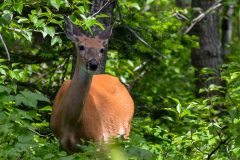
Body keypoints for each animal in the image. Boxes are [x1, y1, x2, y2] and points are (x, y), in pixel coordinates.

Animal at [49, 16, 134, 153]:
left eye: (101, 50)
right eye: (81, 47)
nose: (93, 64)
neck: (70, 123)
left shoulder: (96, 140)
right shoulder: (60, 142)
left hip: (126, 129)